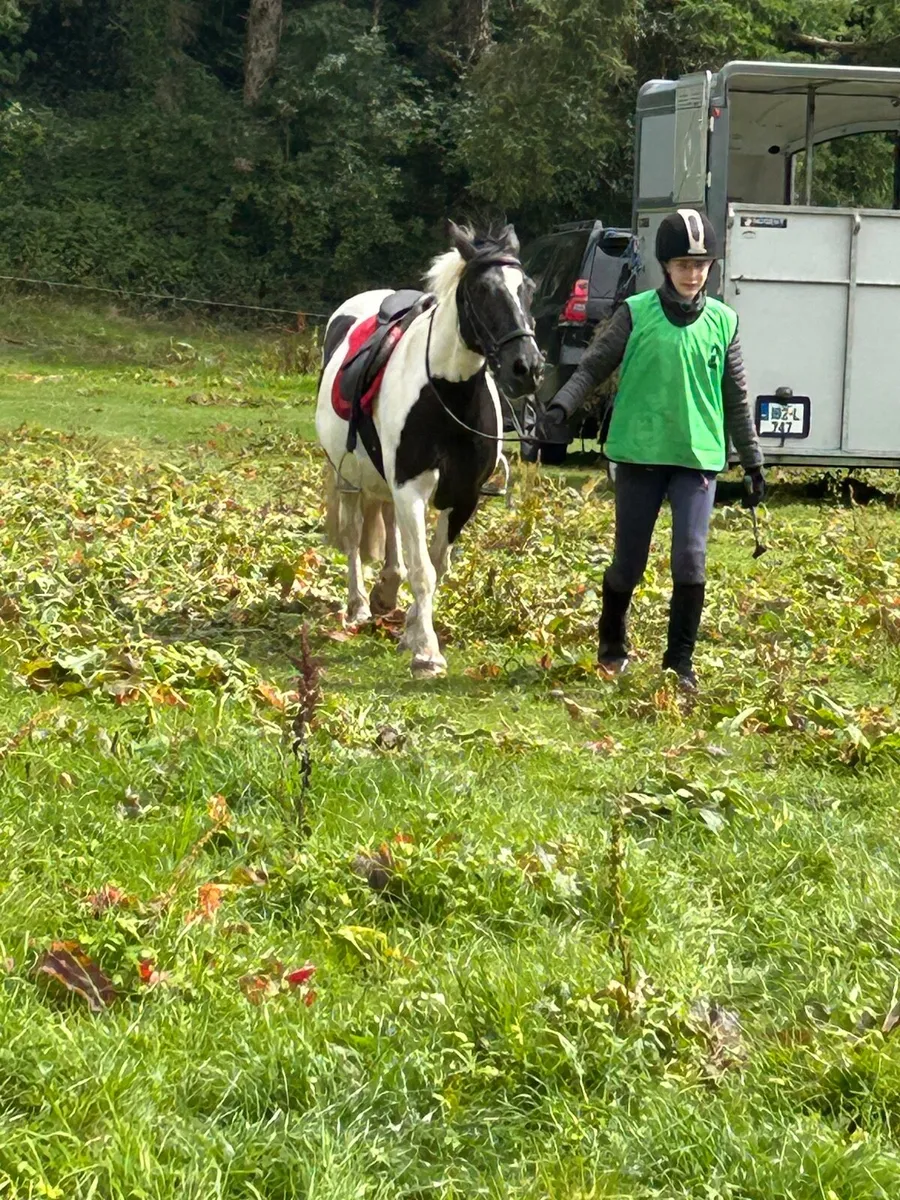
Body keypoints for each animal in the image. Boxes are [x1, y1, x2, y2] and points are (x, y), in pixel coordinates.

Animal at [315, 221, 543, 677]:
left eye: (527, 289)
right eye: (482, 291)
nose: (526, 368)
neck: (446, 393)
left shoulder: (464, 496)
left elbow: (436, 564)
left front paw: (411, 632)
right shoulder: (411, 488)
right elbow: (422, 570)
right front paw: (427, 653)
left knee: (388, 528)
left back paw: (386, 591)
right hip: (348, 478)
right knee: (353, 537)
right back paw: (359, 605)